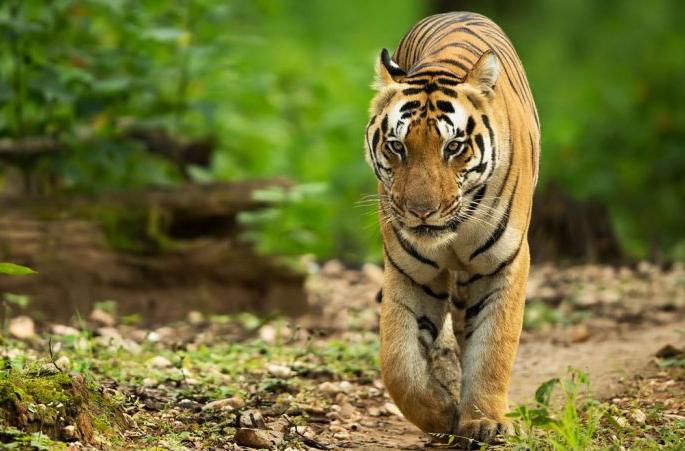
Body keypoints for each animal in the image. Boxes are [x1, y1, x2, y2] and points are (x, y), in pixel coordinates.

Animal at [364, 11, 540, 444]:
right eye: (397, 146)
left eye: (453, 147)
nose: (421, 212)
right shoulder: (411, 272)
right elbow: (398, 361)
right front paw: (442, 415)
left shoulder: (504, 264)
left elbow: (493, 347)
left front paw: (483, 421)